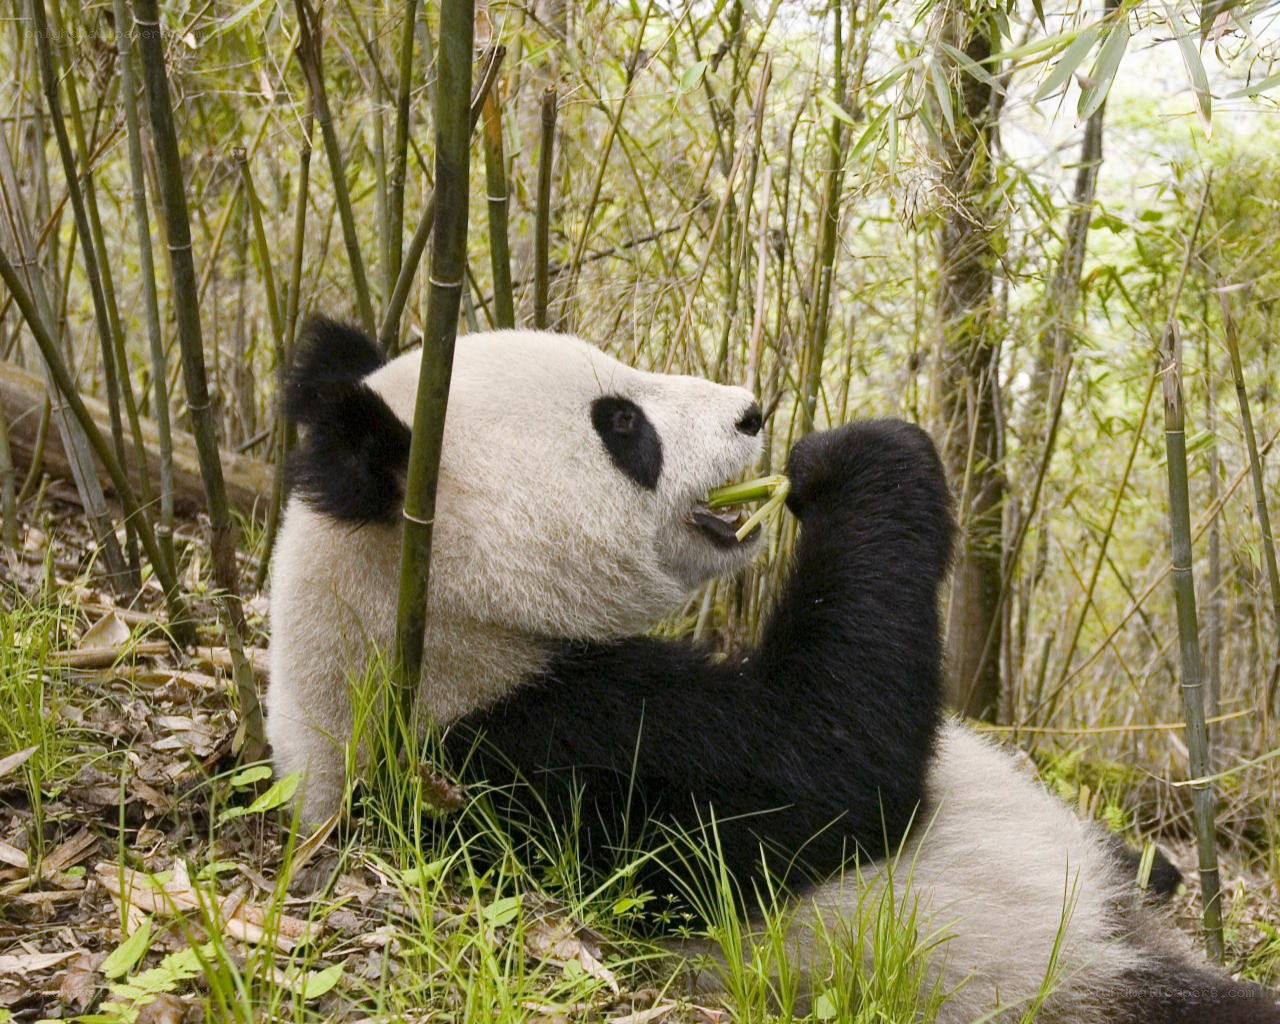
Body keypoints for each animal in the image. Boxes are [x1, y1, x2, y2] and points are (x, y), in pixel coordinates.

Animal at [267, 315, 1280, 1024]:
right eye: (622, 425)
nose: (752, 410)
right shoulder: (537, 754)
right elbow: (828, 770)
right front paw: (858, 457)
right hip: (1057, 974)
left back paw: (1156, 868)